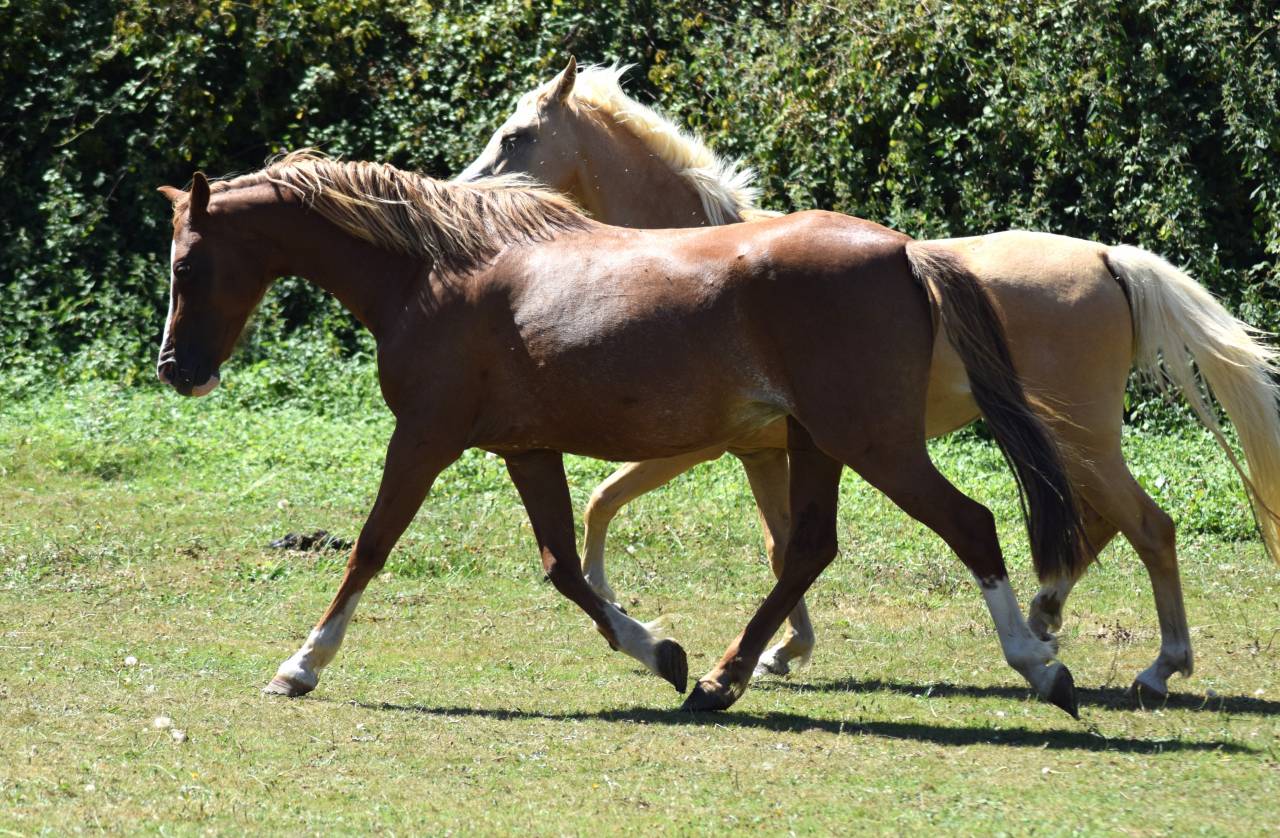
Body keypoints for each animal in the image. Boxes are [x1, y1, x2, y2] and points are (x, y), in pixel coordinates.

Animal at [156, 151, 1088, 715]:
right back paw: (717, 680)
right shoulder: (526, 450)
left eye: (188, 263)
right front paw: (660, 652)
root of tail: (902, 250)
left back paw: (1042, 666)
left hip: (870, 441)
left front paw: (300, 666)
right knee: (809, 550)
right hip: (818, 443)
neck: (437, 273)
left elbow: (369, 548)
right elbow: (563, 567)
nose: (174, 370)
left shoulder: (422, 437)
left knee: (969, 523)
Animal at [457, 58, 1280, 698]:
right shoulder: (765, 452)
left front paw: (641, 622)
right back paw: (1046, 621)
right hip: (1068, 442)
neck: (703, 267)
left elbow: (601, 503)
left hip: (1078, 438)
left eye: (515, 136)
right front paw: (779, 652)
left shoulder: (696, 445)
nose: (465, 190)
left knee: (1148, 526)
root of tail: (1110, 258)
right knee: (1100, 525)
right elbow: (783, 545)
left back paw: (1155, 668)